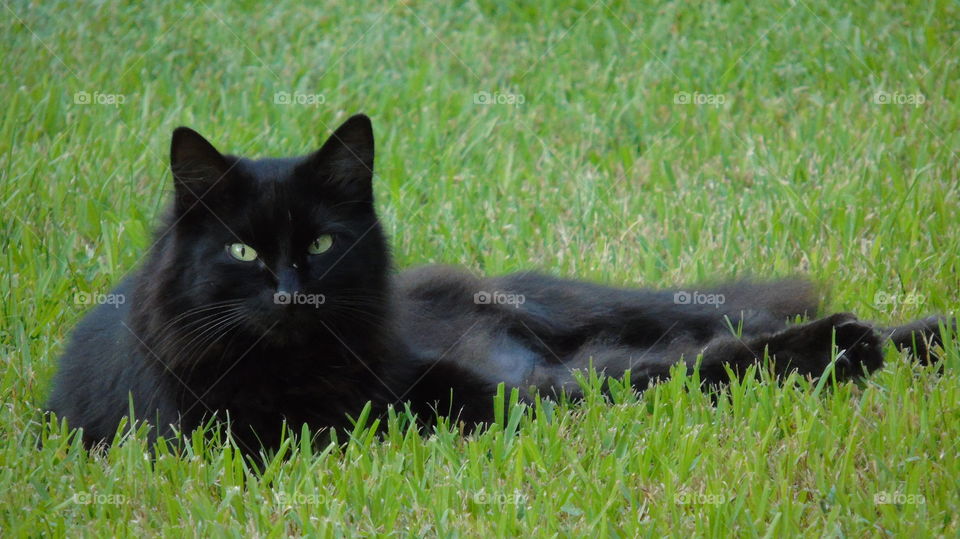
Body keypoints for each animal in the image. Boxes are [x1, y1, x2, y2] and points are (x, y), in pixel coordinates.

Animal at [47, 115, 952, 456]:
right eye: (240, 250)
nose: (289, 288)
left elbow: (670, 370)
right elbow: (653, 378)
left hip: (592, 307)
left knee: (724, 323)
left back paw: (913, 337)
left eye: (321, 242)